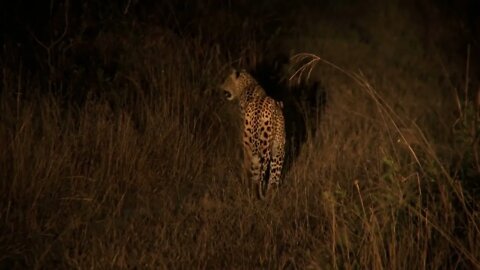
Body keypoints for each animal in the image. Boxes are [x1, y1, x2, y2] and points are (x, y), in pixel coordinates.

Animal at [220, 67, 284, 198]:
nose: (221, 87)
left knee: (256, 172)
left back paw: (253, 193)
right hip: (278, 147)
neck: (248, 83)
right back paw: (269, 197)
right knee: (274, 176)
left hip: (255, 143)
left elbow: (246, 163)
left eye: (226, 80)